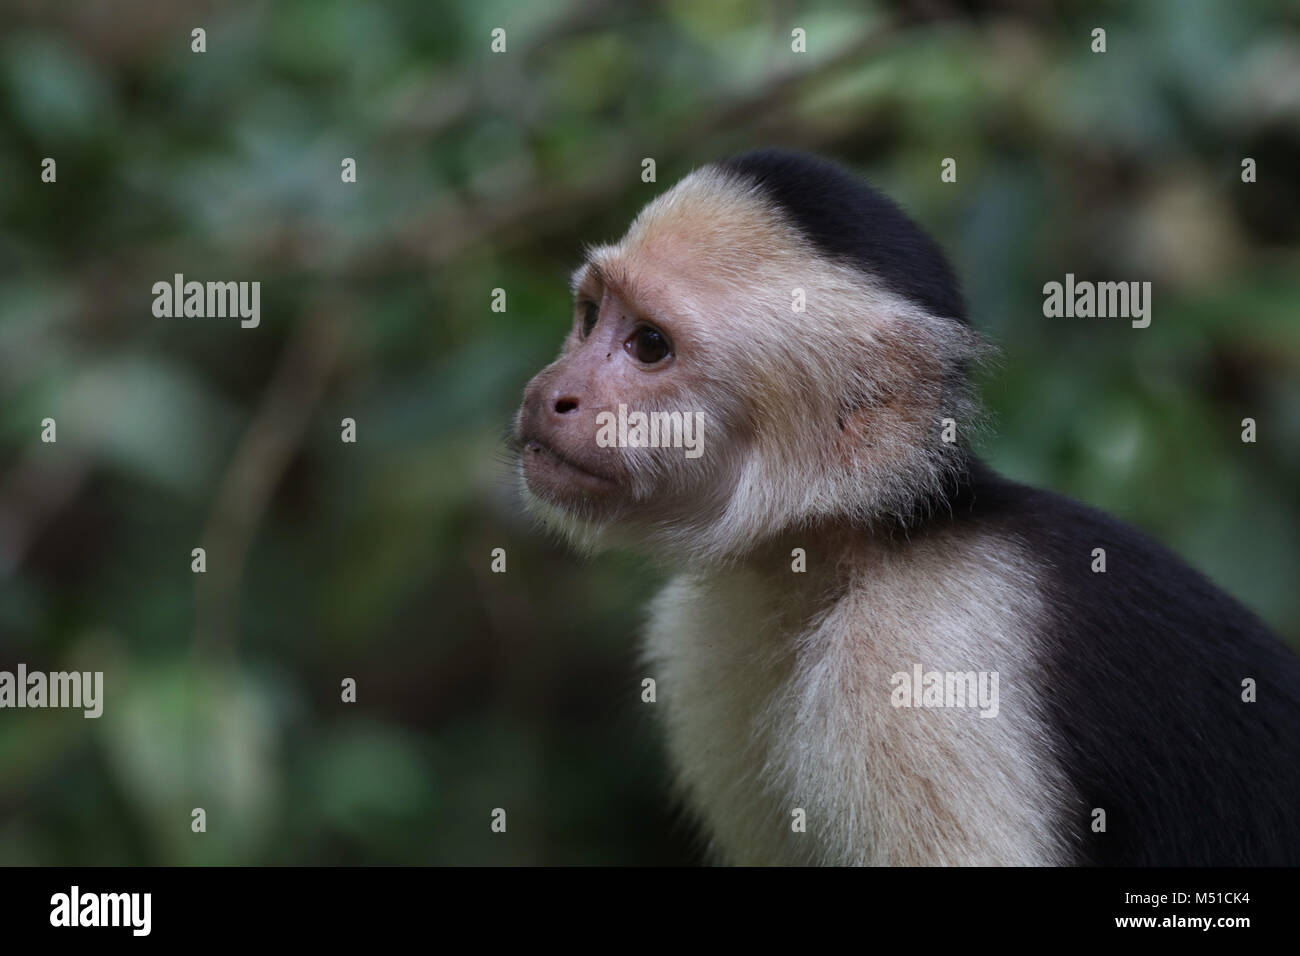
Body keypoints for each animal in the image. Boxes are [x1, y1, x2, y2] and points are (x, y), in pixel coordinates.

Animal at [513, 148, 1300, 866]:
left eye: (649, 344)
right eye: (589, 316)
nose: (549, 393)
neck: (861, 548)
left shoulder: (923, 670)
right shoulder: (705, 638)